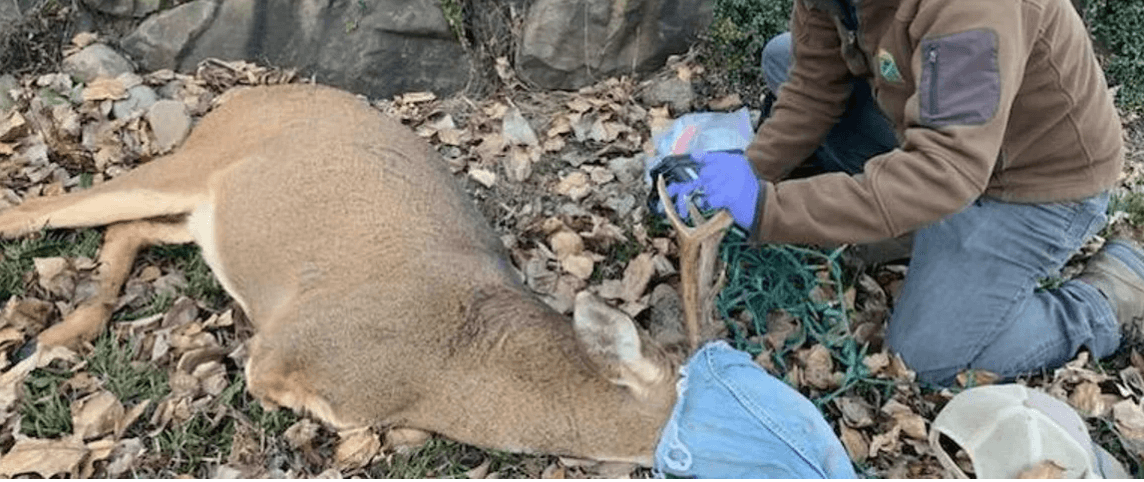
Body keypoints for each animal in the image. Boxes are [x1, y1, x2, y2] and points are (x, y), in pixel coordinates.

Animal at [0, 83, 733, 465]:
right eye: (715, 398)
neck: (451, 368)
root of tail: (240, 94)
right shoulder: (283, 349)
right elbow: (320, 406)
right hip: (189, 163)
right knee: (35, 213)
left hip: (201, 214)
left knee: (127, 230)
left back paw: (62, 332)